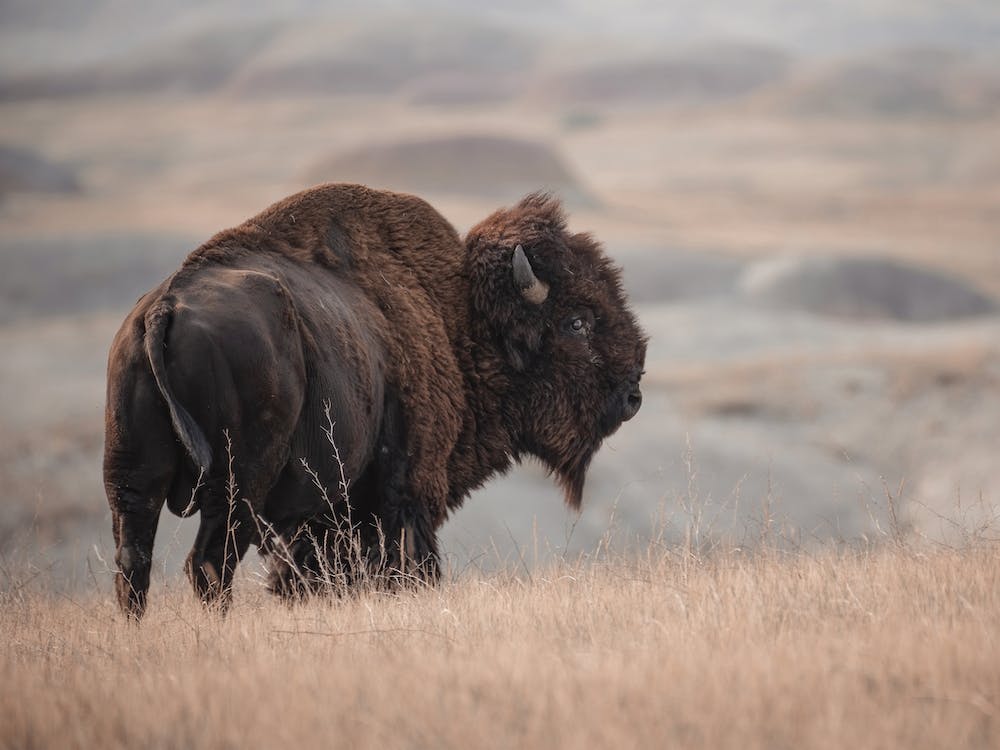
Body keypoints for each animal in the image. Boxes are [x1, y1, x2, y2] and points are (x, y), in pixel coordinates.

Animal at [104, 184, 647, 617]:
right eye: (577, 322)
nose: (632, 394)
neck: (458, 318)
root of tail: (163, 309)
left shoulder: (318, 517)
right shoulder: (403, 492)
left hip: (132, 479)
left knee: (134, 561)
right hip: (238, 485)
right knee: (208, 564)